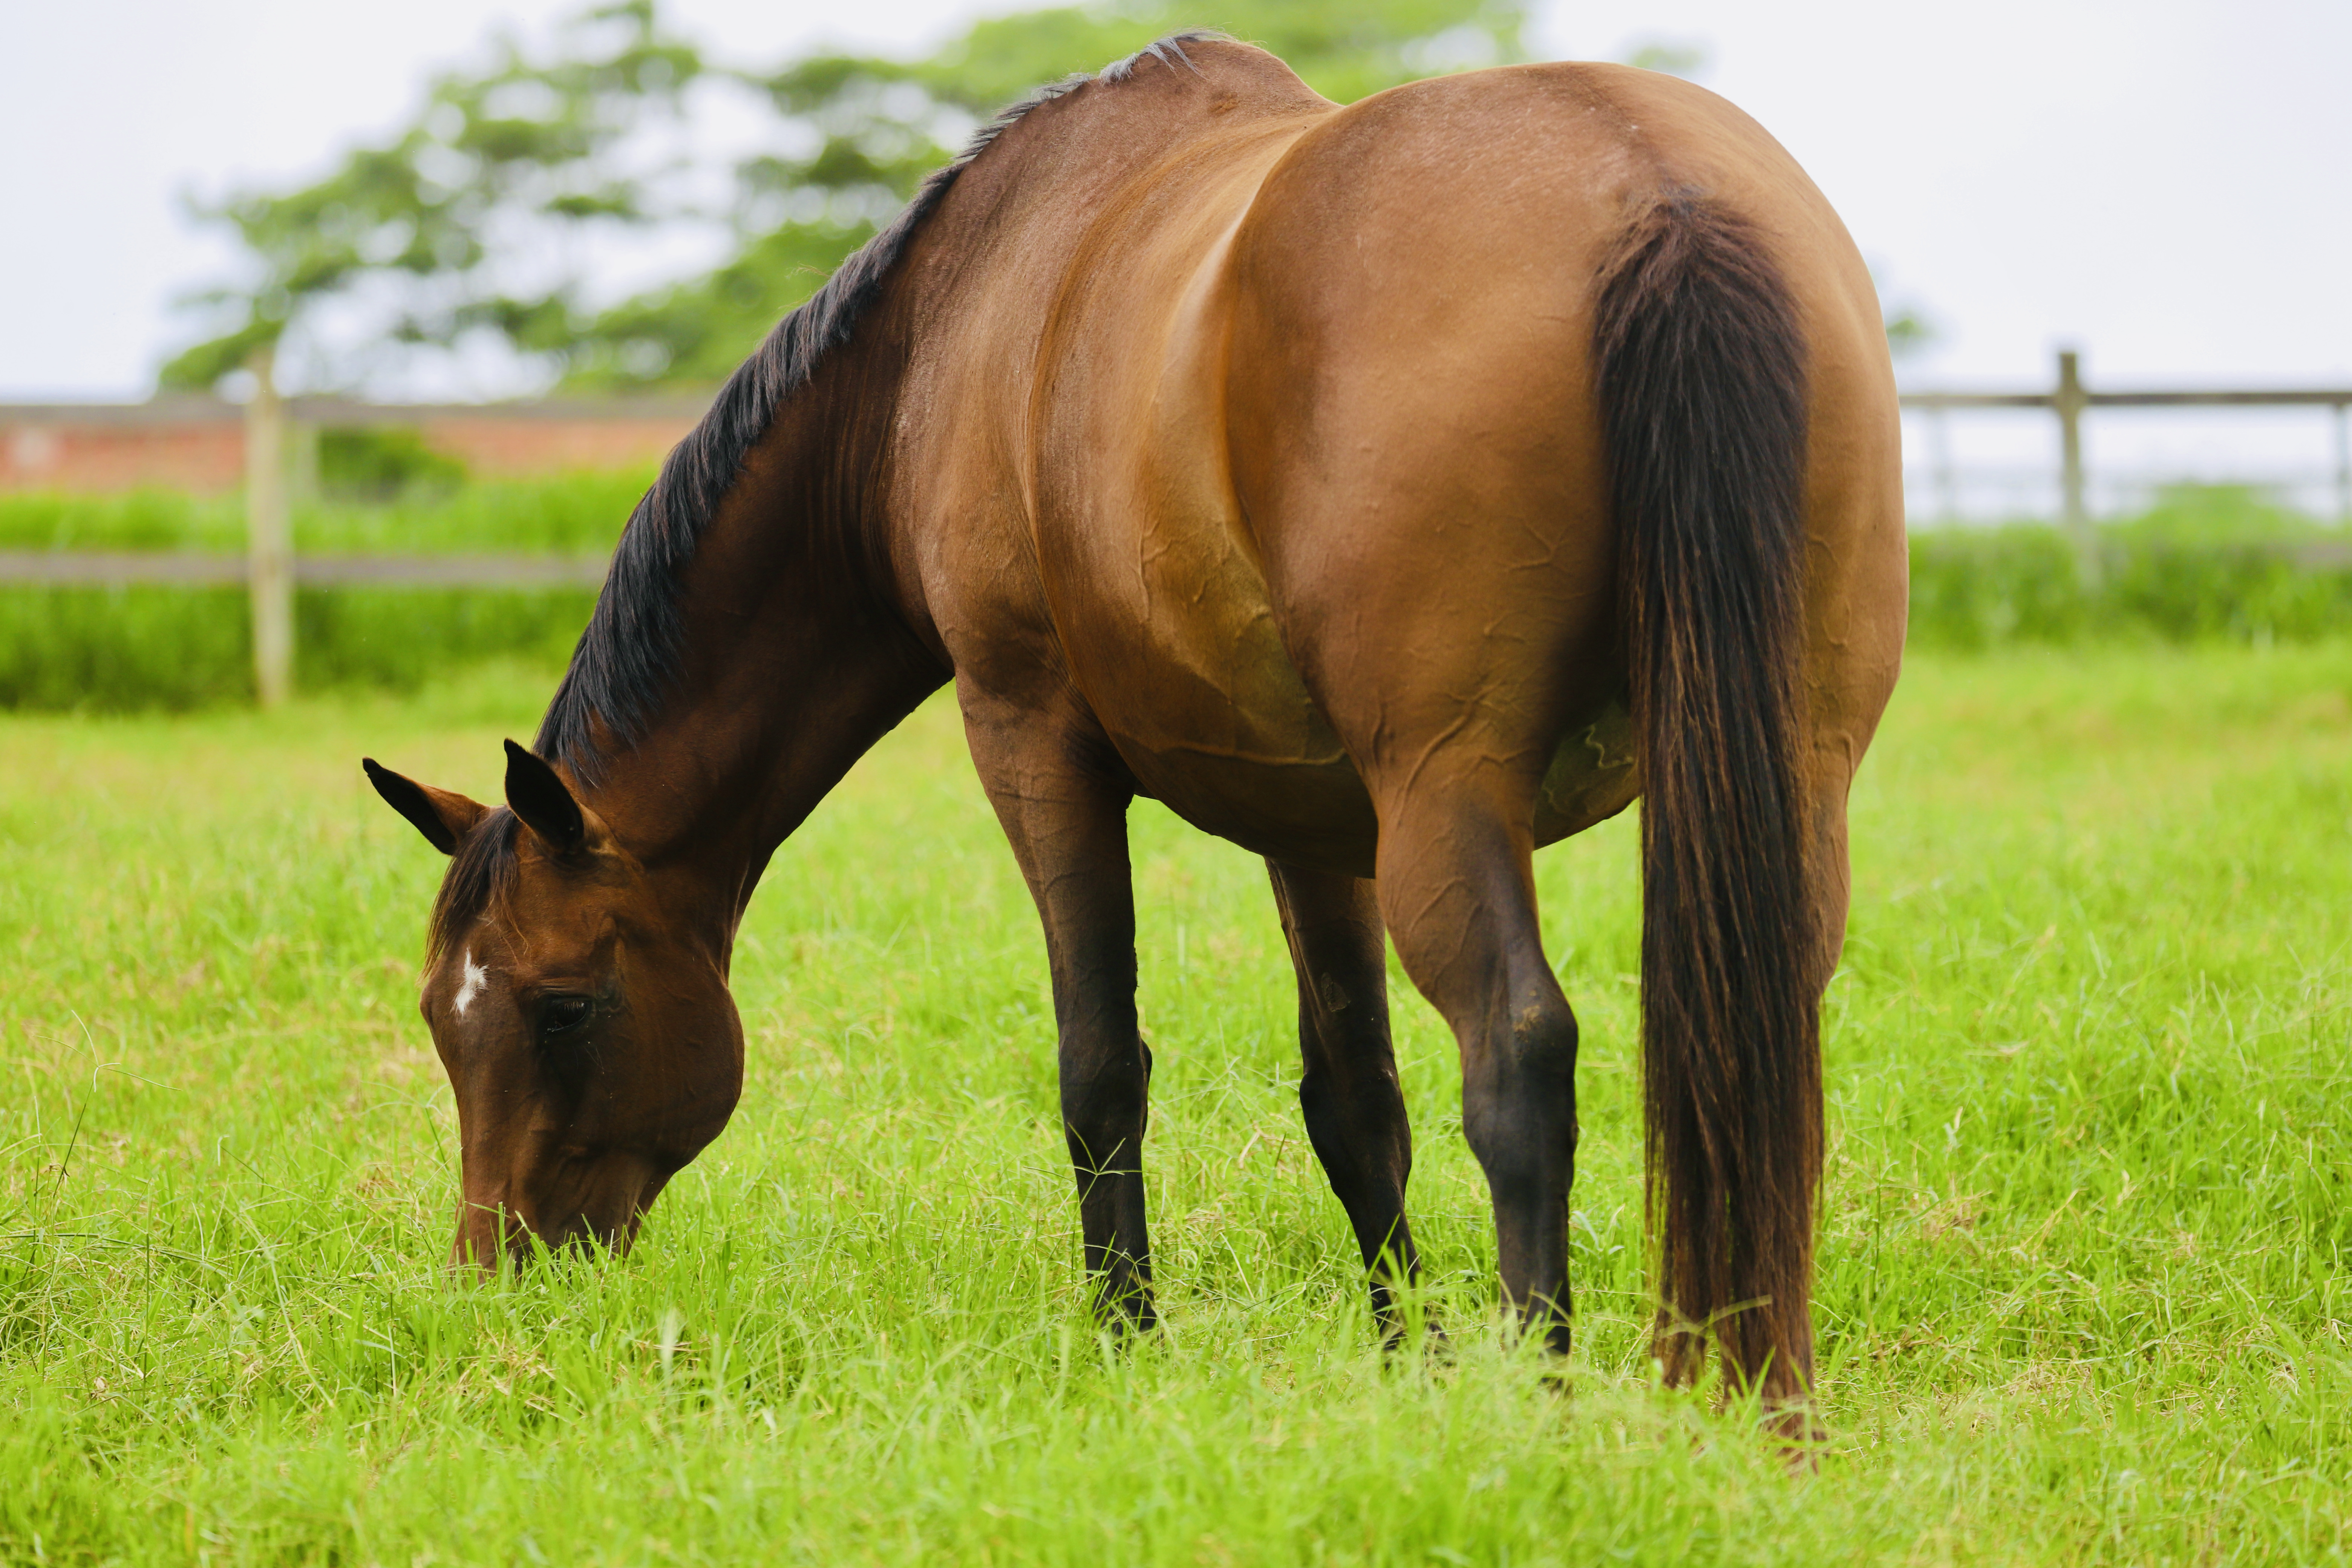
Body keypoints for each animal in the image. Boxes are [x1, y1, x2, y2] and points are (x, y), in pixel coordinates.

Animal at [362, 33, 1905, 1411]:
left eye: (563, 1007)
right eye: (443, 1019)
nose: (500, 1278)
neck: (950, 328)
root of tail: (1657, 195)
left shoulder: (1033, 740)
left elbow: (1100, 1067)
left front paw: (1126, 1345)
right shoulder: (1313, 817)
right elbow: (1355, 1096)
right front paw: (1405, 1365)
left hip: (1451, 790)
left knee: (1519, 1050)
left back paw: (1546, 1405)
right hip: (1786, 773)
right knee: (1757, 1037)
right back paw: (1760, 1390)